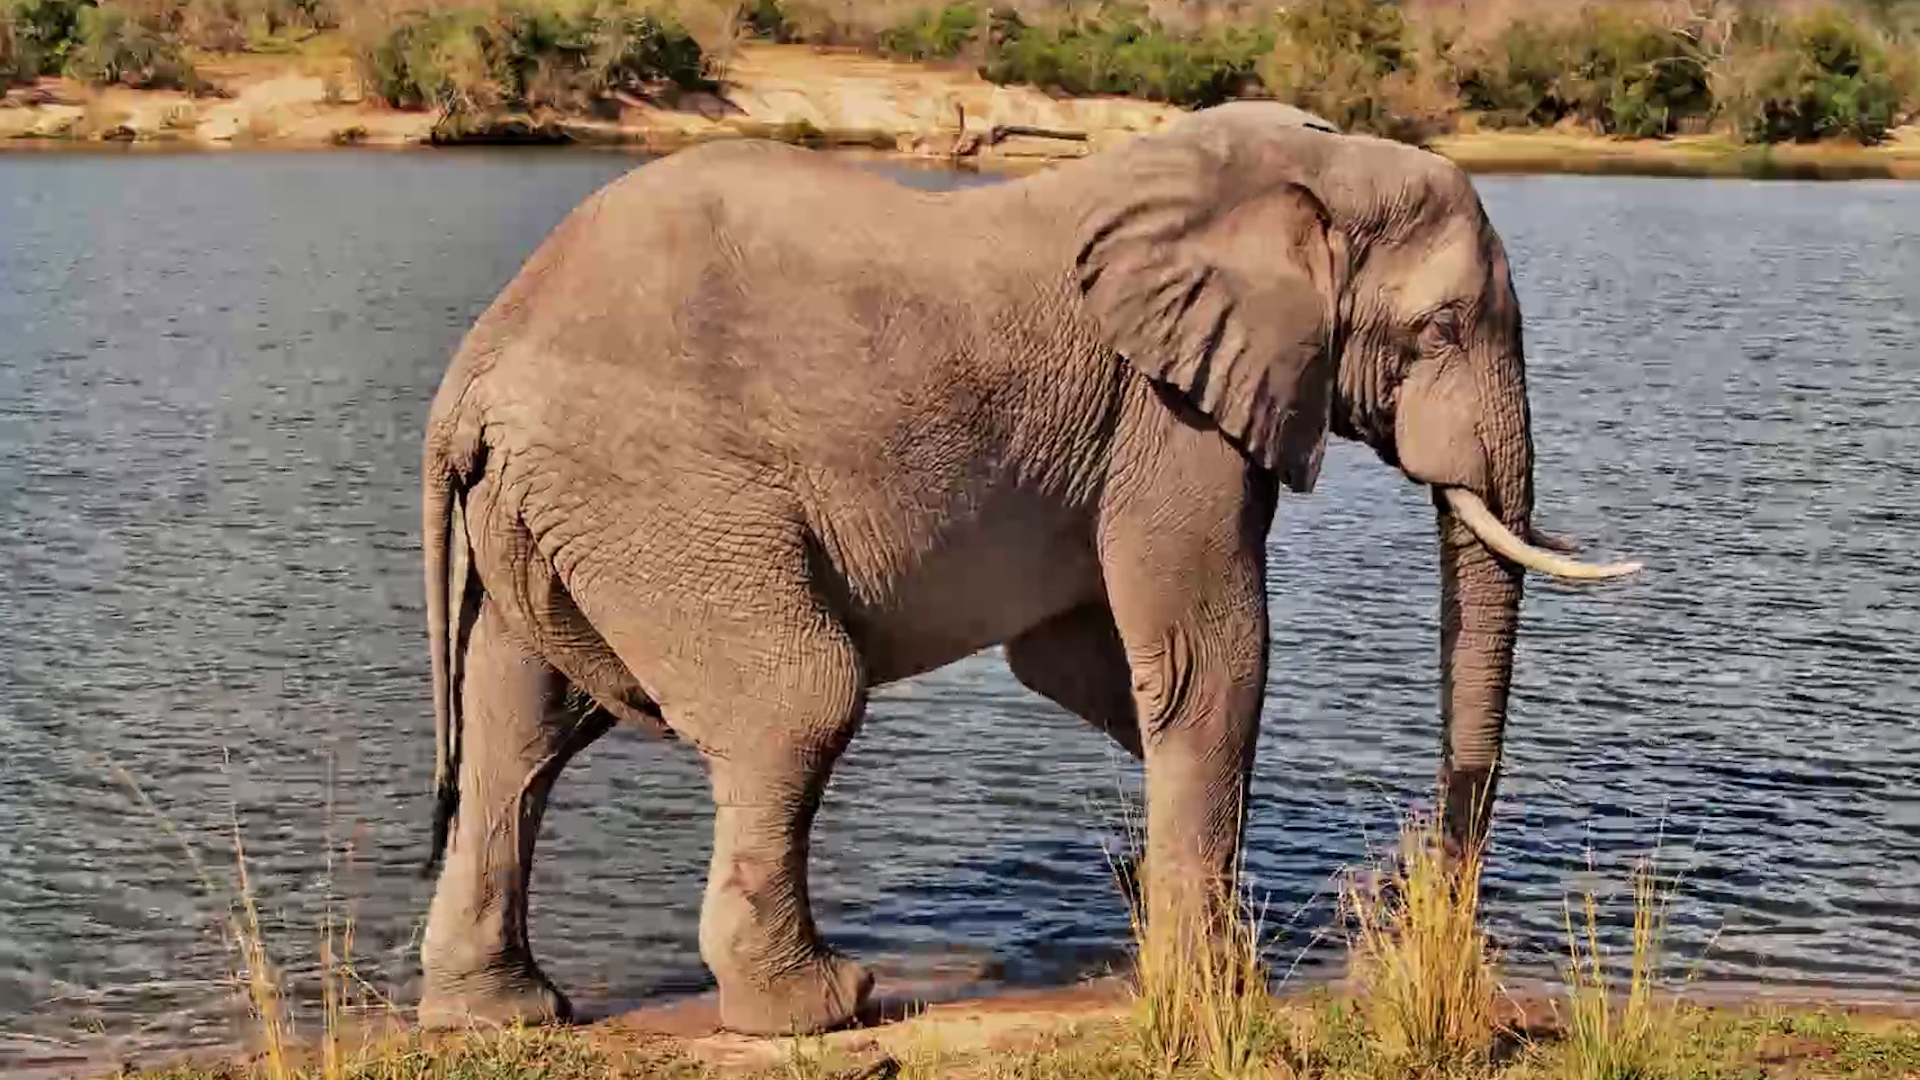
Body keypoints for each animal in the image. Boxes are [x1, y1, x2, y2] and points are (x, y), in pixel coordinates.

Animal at [413, 100, 1640, 1036]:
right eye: (1439, 330)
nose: (1423, 888)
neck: (1303, 168)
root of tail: (476, 369)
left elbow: (1092, 667)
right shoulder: (1169, 418)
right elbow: (1210, 659)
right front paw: (1217, 986)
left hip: (563, 513)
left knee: (515, 732)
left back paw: (501, 1013)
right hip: (658, 491)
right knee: (797, 700)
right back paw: (823, 1006)